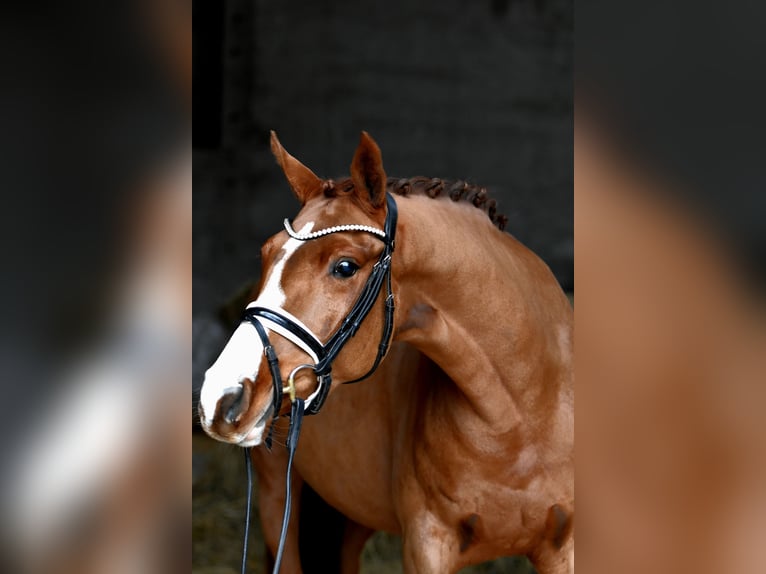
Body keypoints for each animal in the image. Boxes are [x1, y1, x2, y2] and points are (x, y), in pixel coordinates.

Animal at [201, 133, 572, 572]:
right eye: (265, 253)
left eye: (345, 266)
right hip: (278, 497)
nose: (219, 396)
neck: (519, 415)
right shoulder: (427, 544)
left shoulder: (563, 548)